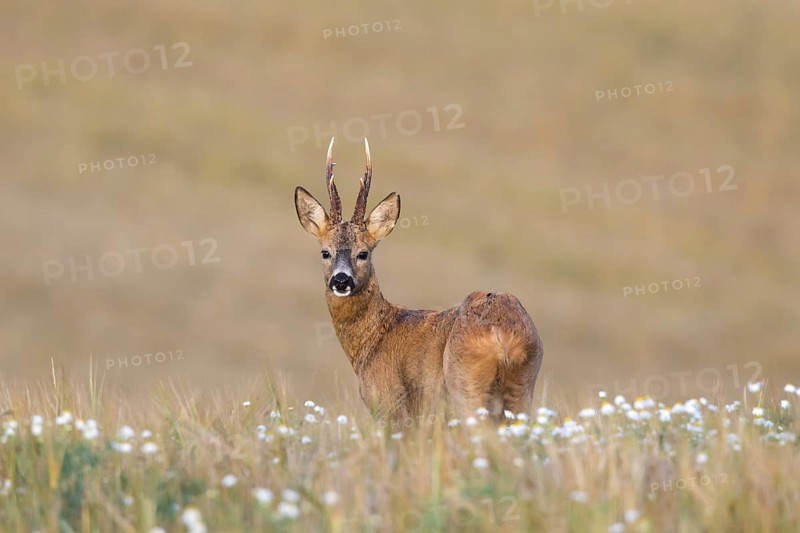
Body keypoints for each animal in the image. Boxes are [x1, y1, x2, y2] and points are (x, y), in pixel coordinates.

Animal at [294, 138, 543, 423]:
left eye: (363, 253)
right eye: (325, 252)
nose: (341, 280)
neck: (373, 340)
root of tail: (503, 337)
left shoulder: (391, 404)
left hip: (465, 385)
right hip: (523, 387)